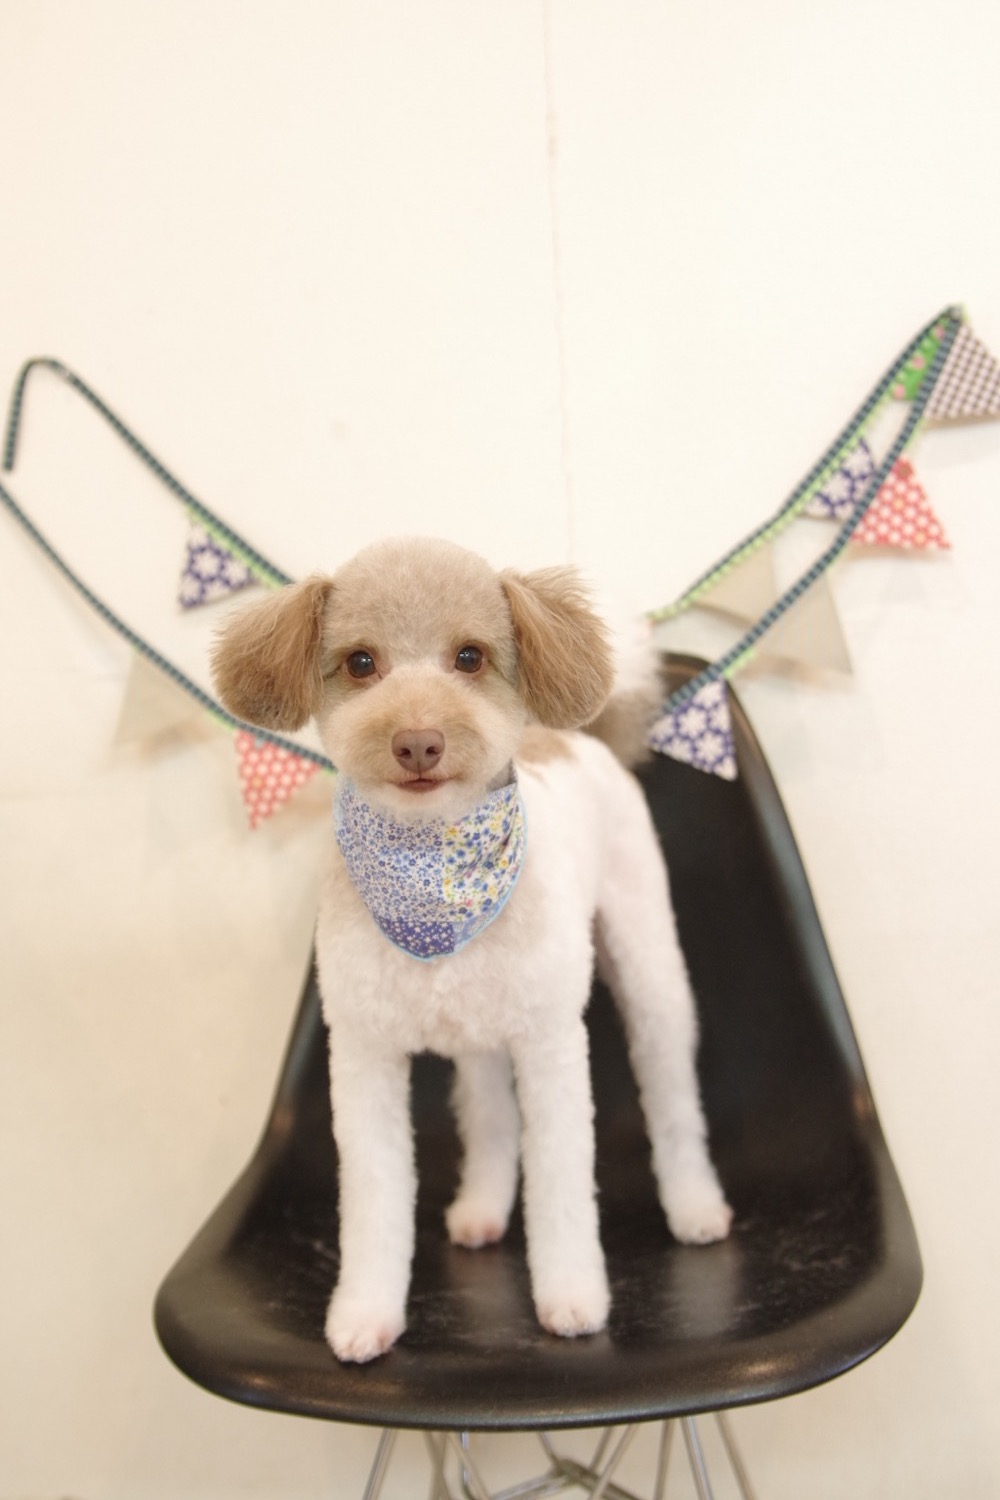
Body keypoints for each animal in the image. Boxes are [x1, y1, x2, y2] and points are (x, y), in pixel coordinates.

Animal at [212, 536, 731, 1363]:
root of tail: (579, 736)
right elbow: (375, 1195)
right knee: (490, 1117)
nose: (418, 741)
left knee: (673, 1096)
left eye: (469, 657)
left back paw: (694, 1207)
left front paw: (572, 1298)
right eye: (361, 662)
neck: (434, 874)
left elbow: (562, 1183)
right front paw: (366, 1313)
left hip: (648, 967)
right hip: (481, 1032)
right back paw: (483, 1209)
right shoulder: (362, 1055)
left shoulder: (551, 1044)